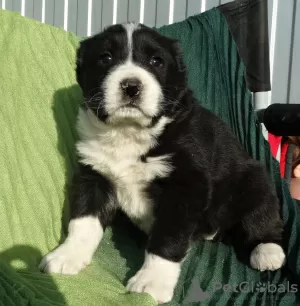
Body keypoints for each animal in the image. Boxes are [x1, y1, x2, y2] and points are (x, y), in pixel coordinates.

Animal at [39, 23, 286, 304]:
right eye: (106, 58)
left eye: (156, 61)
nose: (131, 86)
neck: (128, 132)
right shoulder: (94, 176)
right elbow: (83, 221)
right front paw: (67, 255)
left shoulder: (185, 186)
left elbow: (167, 236)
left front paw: (152, 281)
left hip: (254, 179)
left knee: (263, 216)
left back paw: (267, 251)